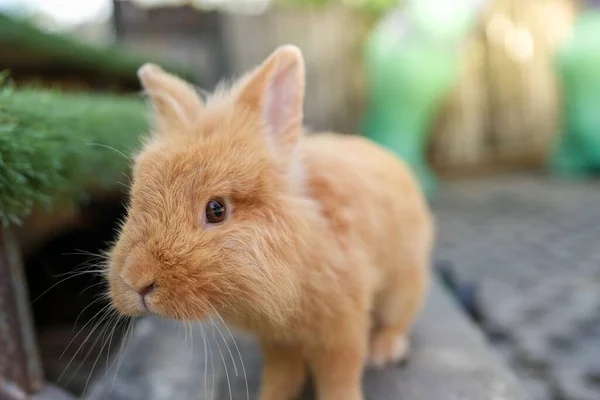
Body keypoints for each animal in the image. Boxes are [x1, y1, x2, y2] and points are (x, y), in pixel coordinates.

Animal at [108, 44, 434, 400]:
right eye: (134, 198)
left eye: (216, 210)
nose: (136, 280)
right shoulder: (278, 340)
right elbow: (283, 373)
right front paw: (270, 397)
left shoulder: (342, 327)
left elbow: (339, 374)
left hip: (402, 286)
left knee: (398, 320)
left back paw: (385, 350)